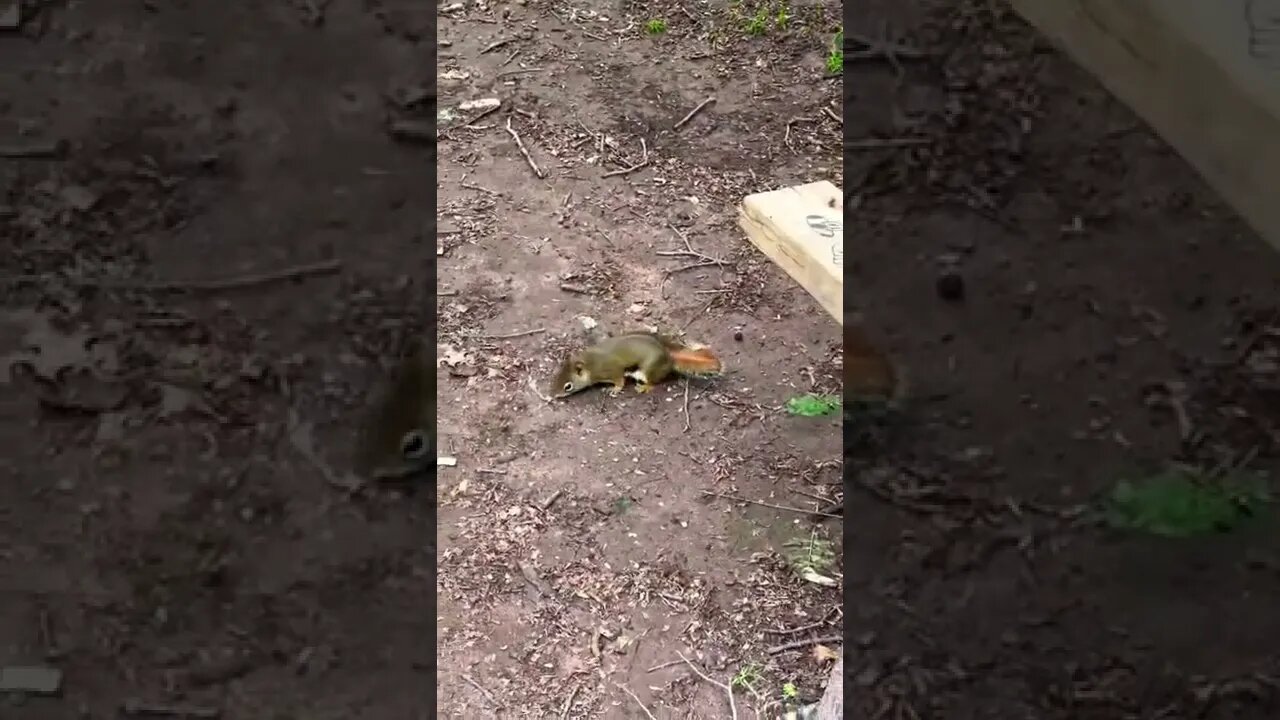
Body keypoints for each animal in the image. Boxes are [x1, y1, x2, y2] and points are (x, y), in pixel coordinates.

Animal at [548, 331, 723, 398]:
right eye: (554, 377)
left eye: (568, 386)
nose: (552, 396)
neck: (589, 364)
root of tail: (669, 358)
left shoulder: (611, 370)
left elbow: (619, 380)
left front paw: (615, 390)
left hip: (648, 371)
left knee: (653, 383)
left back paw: (643, 387)